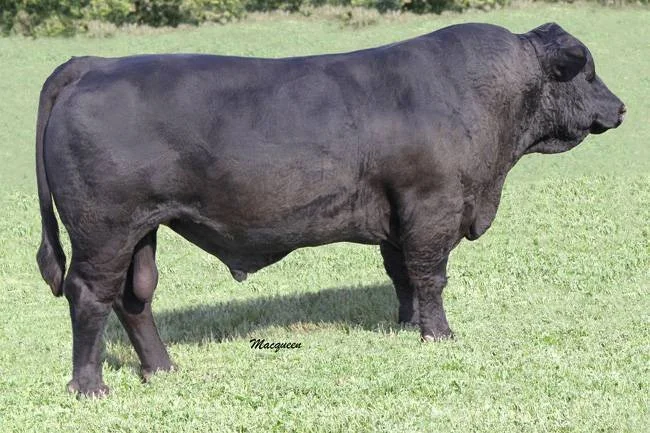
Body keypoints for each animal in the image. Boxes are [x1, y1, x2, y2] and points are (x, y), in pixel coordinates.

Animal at [35, 22, 625, 396]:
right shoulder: (432, 206)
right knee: (90, 294)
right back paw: (90, 386)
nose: (620, 108)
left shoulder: (398, 216)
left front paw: (406, 324)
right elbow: (430, 276)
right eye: (588, 72)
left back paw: (161, 369)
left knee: (135, 297)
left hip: (141, 230)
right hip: (104, 229)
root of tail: (93, 65)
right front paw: (439, 335)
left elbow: (402, 275)